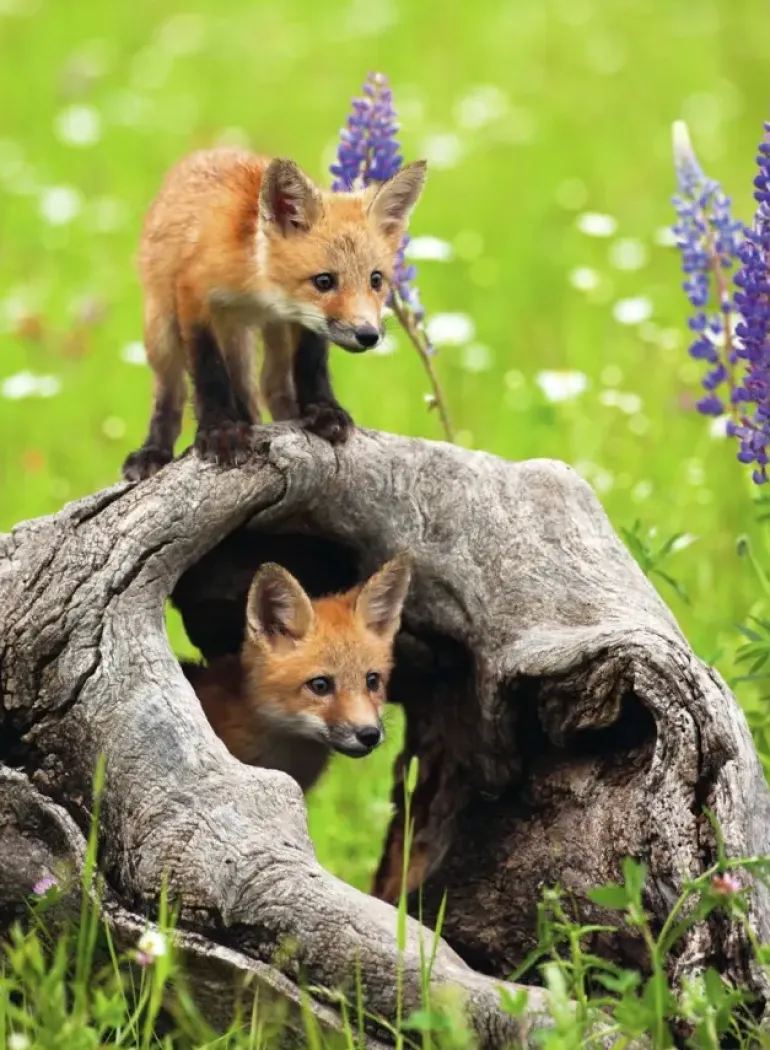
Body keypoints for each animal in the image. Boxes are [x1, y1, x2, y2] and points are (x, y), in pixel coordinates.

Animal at [121, 148, 428, 481]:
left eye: (376, 280)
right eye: (324, 281)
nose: (368, 335)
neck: (257, 285)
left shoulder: (302, 321)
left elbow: (311, 365)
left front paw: (323, 410)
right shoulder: (193, 296)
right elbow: (209, 372)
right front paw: (221, 429)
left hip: (271, 335)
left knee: (272, 384)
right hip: (161, 327)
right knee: (171, 393)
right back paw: (154, 450)